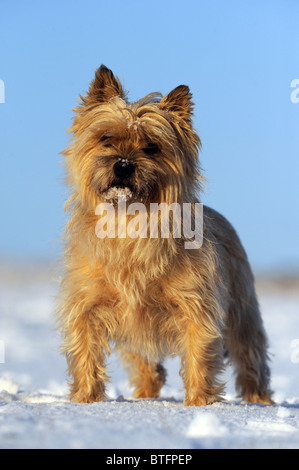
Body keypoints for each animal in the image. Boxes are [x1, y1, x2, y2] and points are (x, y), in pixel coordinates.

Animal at [57, 64, 276, 406]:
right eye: (106, 138)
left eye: (151, 147)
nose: (123, 165)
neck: (129, 223)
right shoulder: (89, 304)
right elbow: (85, 349)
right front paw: (85, 400)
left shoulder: (196, 306)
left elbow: (200, 354)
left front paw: (199, 403)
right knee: (147, 365)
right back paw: (146, 394)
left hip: (242, 311)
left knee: (250, 355)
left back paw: (259, 401)